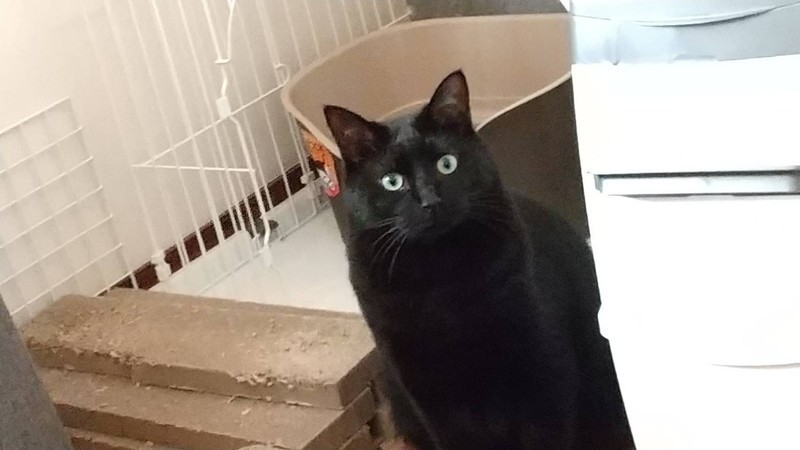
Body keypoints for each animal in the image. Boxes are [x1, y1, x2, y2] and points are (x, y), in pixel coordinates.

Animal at [324, 70, 634, 450]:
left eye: (447, 164)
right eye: (392, 182)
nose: (430, 201)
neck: (439, 275)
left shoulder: (544, 372)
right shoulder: (427, 394)